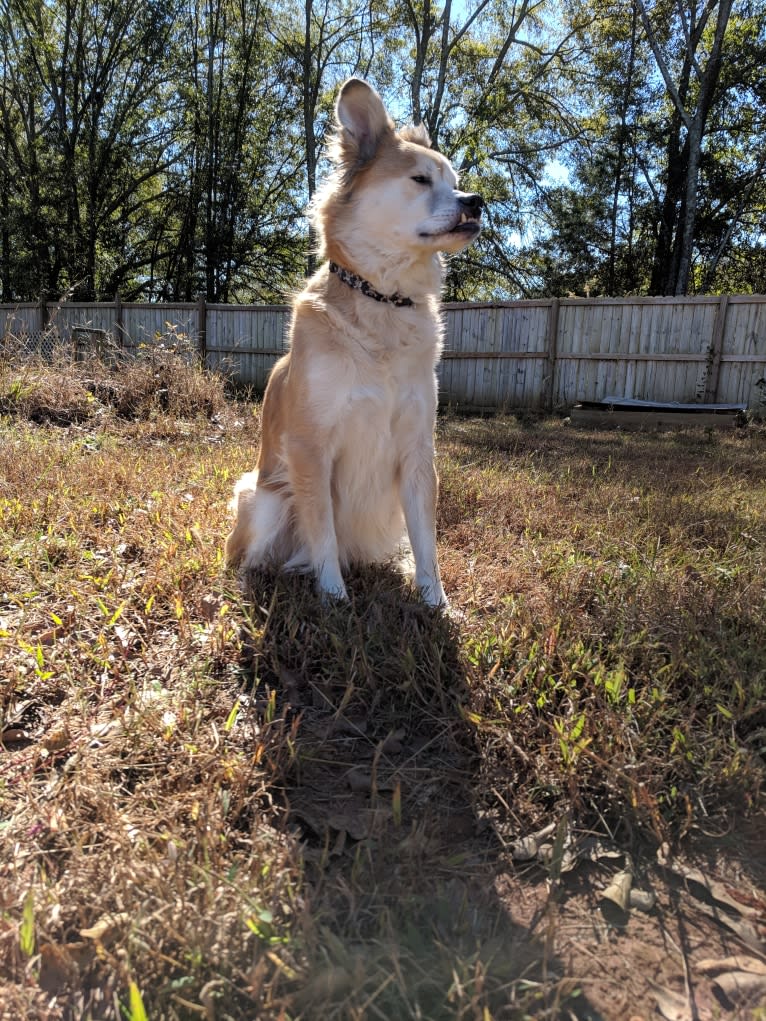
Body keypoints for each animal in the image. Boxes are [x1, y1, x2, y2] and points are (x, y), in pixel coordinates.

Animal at [224, 79, 482, 608]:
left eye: (455, 180)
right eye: (420, 179)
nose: (476, 201)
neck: (384, 299)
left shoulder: (418, 450)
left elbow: (425, 537)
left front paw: (435, 600)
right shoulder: (310, 447)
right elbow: (322, 530)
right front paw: (334, 596)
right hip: (264, 497)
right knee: (259, 555)